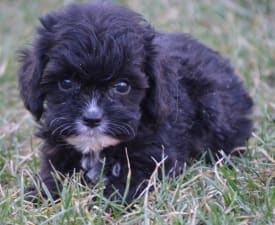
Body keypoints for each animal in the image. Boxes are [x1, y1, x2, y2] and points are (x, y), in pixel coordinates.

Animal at [17, 1, 254, 202]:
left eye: (122, 86)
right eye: (66, 82)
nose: (92, 118)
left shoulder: (153, 159)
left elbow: (126, 186)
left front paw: (104, 204)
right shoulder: (57, 149)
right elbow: (54, 176)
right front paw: (40, 194)